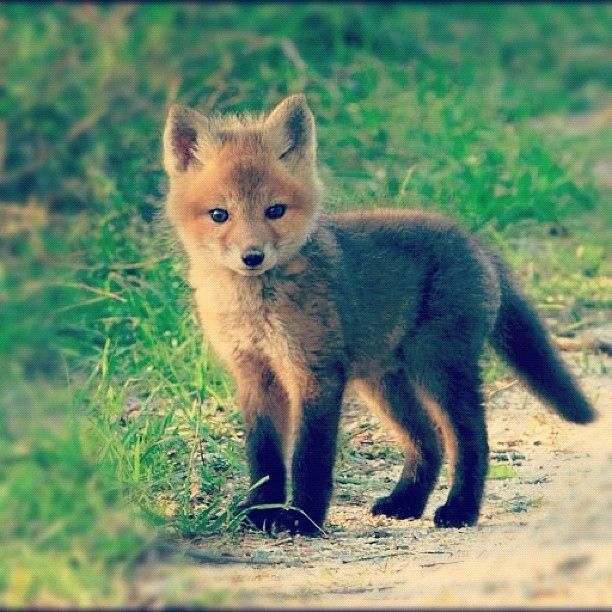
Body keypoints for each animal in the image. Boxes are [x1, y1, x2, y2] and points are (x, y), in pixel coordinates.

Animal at [160, 92, 596, 536]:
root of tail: (474, 241)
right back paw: (406, 502)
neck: (255, 307)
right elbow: (264, 458)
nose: (253, 257)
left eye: (275, 211)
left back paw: (460, 509)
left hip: (436, 367)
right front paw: (261, 512)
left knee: (471, 439)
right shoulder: (254, 374)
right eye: (220, 215)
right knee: (430, 441)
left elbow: (310, 457)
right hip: (384, 381)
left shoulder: (316, 372)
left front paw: (303, 518)